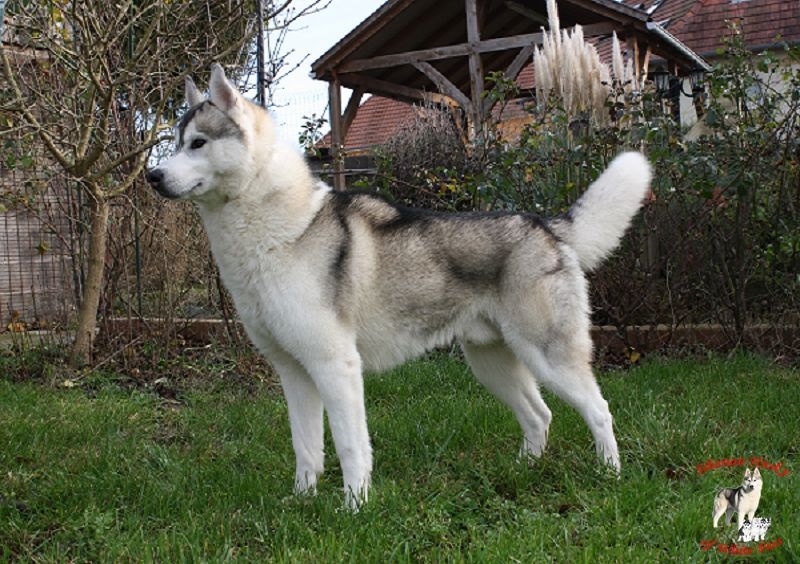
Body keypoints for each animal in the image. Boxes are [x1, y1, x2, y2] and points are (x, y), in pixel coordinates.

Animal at [146, 64, 652, 508]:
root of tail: (547, 225)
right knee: (539, 415)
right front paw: (302, 501)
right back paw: (524, 470)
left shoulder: (336, 367)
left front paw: (354, 507)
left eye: (198, 143)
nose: (153, 175)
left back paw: (609, 475)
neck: (277, 230)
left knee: (599, 410)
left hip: (549, 359)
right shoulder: (294, 373)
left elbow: (350, 447)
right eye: (175, 144)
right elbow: (306, 448)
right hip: (491, 364)